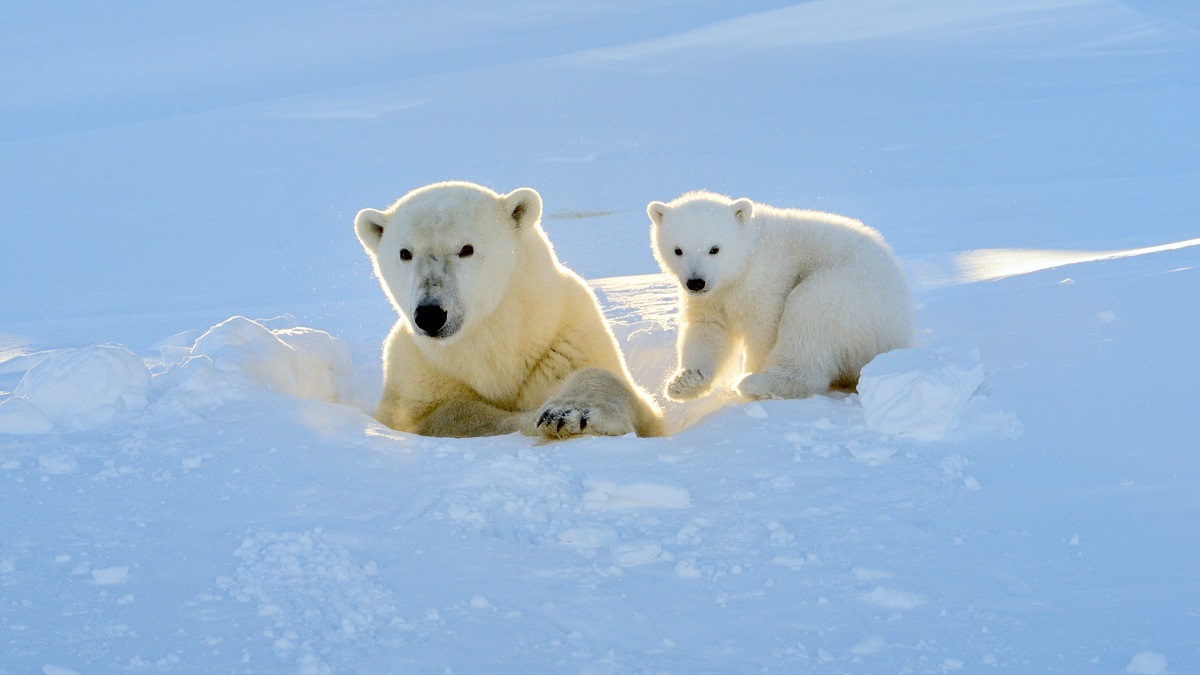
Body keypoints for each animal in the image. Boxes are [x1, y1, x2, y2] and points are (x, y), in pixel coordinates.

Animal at [352, 181, 667, 439]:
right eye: (405, 253)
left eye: (466, 249)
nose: (430, 314)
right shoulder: (416, 369)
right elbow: (442, 414)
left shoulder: (567, 340)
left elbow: (629, 396)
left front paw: (568, 414)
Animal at [652, 189, 912, 398]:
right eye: (678, 250)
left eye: (714, 249)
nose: (696, 282)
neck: (746, 259)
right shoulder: (712, 298)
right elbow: (708, 329)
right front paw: (685, 382)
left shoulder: (766, 281)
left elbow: (763, 331)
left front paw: (751, 369)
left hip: (852, 295)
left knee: (809, 312)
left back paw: (756, 383)